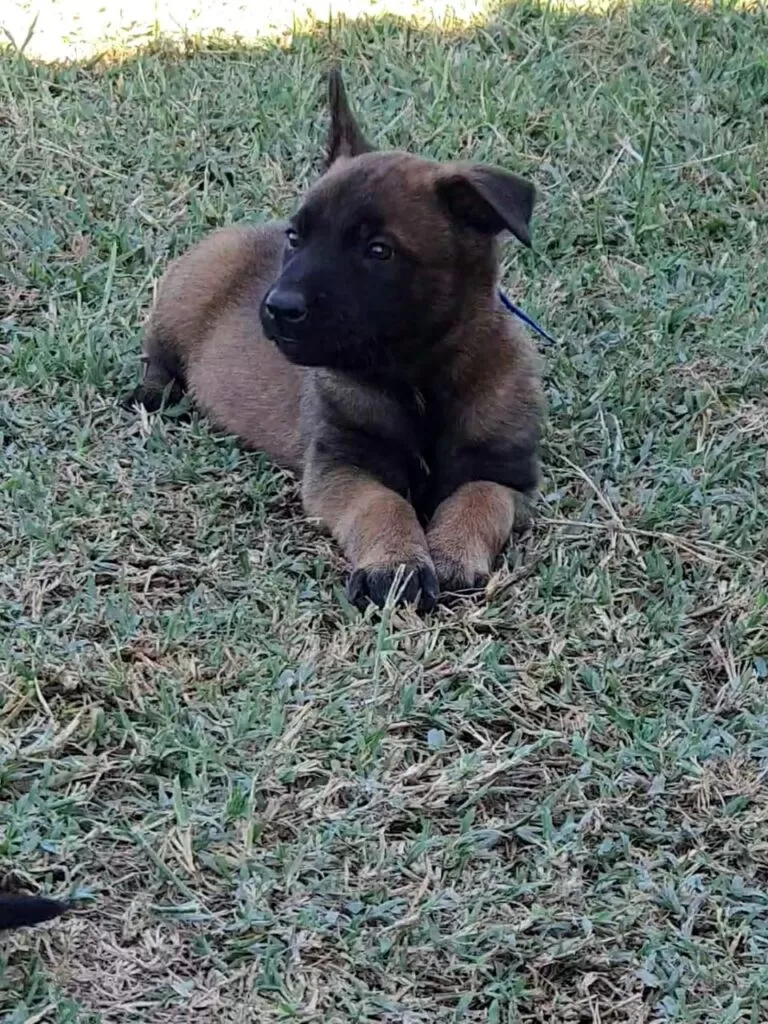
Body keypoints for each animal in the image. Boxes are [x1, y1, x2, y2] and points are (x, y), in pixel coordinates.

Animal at [128, 74, 548, 614]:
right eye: (296, 237)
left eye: (378, 250)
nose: (278, 307)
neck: (420, 379)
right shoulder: (343, 467)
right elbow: (382, 504)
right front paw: (396, 563)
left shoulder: (505, 475)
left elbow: (478, 500)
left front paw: (451, 550)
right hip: (182, 298)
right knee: (159, 354)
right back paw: (153, 391)